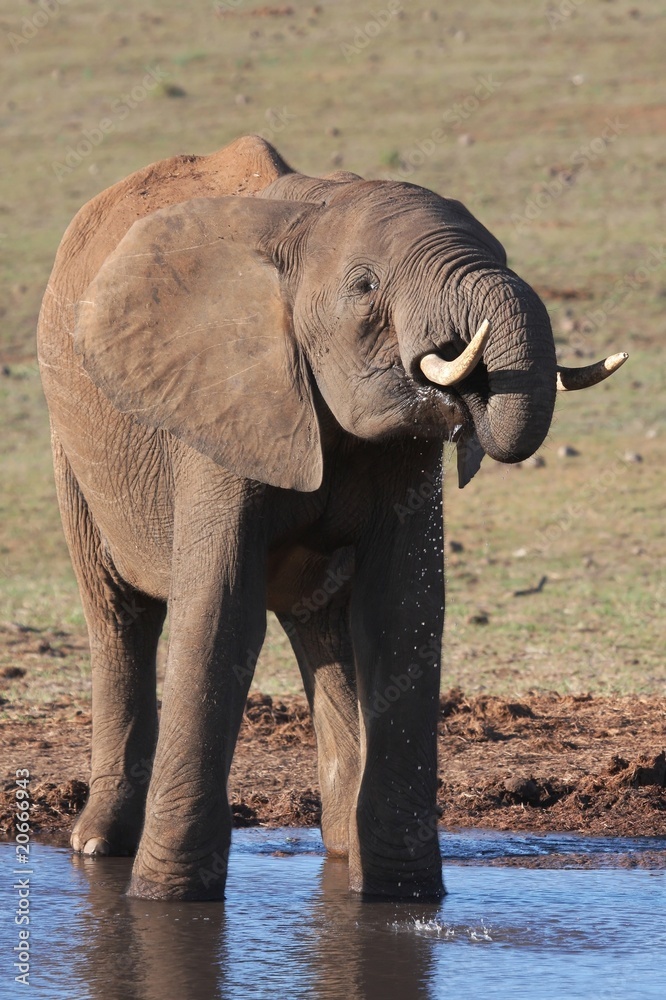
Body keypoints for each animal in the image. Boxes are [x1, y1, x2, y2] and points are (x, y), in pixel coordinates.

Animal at [37, 135, 627, 900]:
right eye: (365, 285)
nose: (467, 377)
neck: (307, 219)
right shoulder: (221, 402)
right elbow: (221, 612)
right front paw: (167, 900)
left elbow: (403, 612)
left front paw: (403, 897)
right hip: (72, 446)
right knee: (119, 617)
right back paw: (97, 848)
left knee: (327, 631)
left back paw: (346, 854)